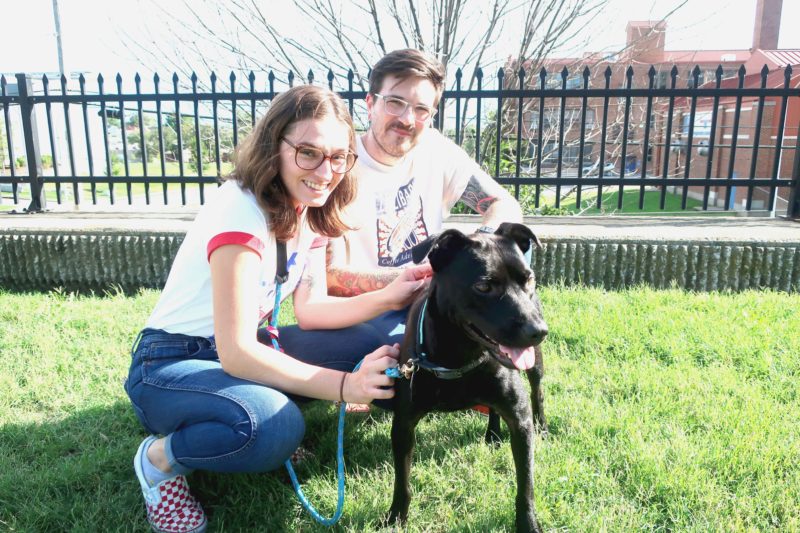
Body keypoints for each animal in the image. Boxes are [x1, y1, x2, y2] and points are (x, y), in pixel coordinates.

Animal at [384, 222, 548, 532]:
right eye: (483, 286)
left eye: (529, 279)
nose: (538, 331)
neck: (460, 356)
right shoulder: (403, 424)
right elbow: (402, 480)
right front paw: (396, 516)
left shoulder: (520, 421)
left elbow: (527, 485)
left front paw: (528, 523)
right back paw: (493, 434)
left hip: (536, 365)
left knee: (538, 392)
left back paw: (542, 425)